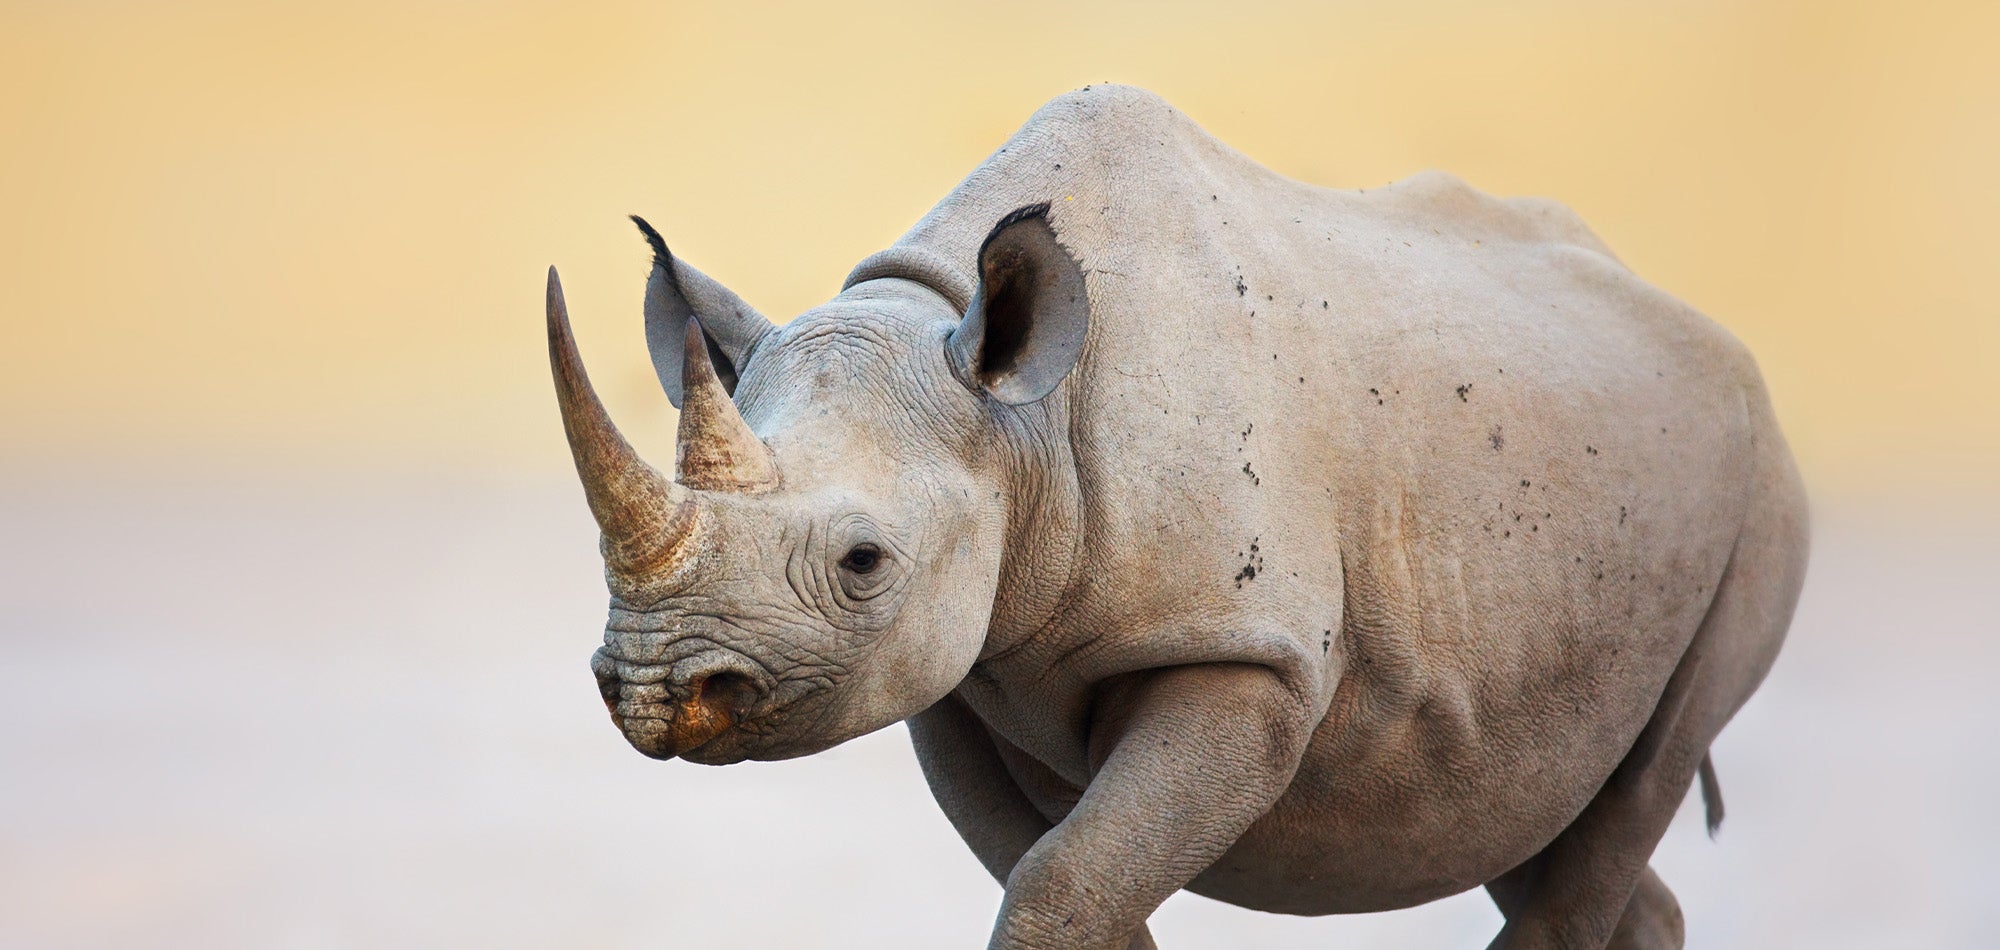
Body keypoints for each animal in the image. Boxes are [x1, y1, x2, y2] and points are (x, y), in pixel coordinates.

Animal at [546, 85, 1808, 949]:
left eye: (862, 561)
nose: (657, 690)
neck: (1015, 415)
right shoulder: (950, 673)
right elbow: (1064, 876)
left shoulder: (1245, 655)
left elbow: (1061, 881)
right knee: (1533, 806)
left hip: (1759, 489)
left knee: (1644, 770)